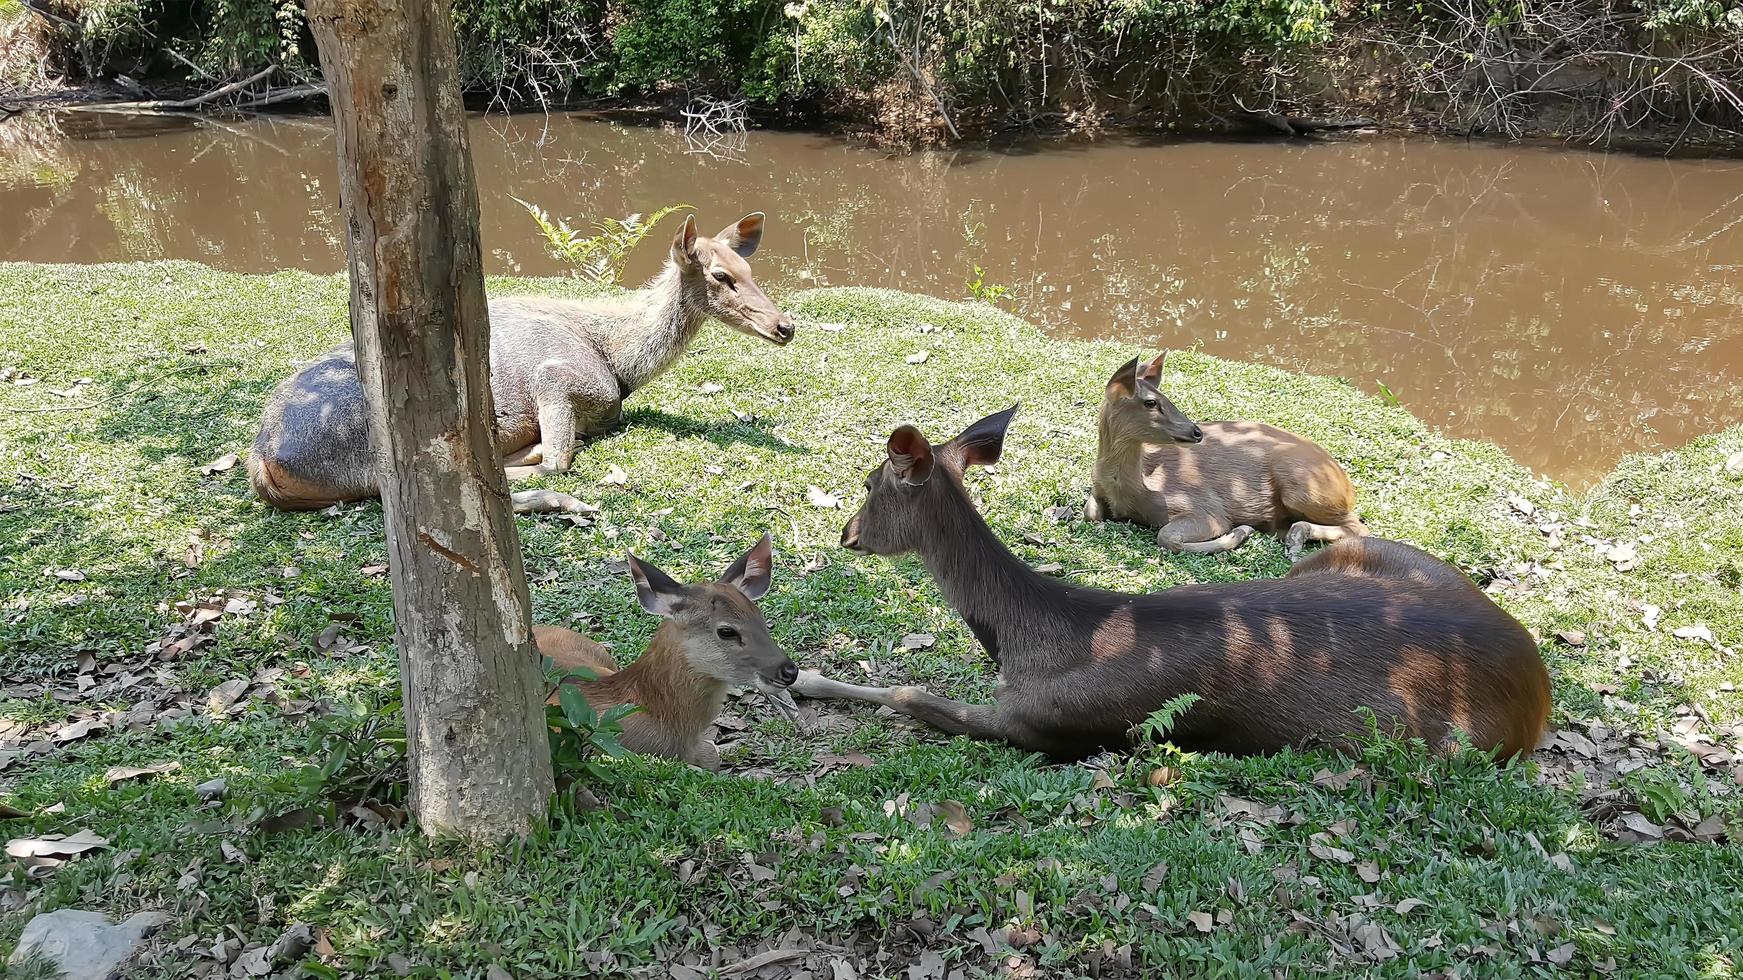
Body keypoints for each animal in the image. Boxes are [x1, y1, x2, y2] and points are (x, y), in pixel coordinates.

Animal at [249, 210, 794, 516]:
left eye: (749, 267)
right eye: (722, 275)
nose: (786, 326)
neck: (619, 361)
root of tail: (263, 461)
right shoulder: (556, 375)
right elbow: (557, 458)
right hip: (381, 450)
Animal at [794, 401, 1554, 760]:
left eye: (870, 483)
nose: (847, 534)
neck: (1027, 639)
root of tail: (1539, 687)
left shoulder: (1050, 723)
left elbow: (909, 692)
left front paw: (804, 677)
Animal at [1080, 353, 1366, 561]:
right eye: (1151, 402)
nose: (1196, 431)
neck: (1135, 490)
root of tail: (1348, 487)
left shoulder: (1205, 507)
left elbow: (1167, 536)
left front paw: (1240, 531)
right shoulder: (1097, 490)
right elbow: (1090, 512)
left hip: (1304, 486)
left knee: (1359, 526)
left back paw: (1293, 541)